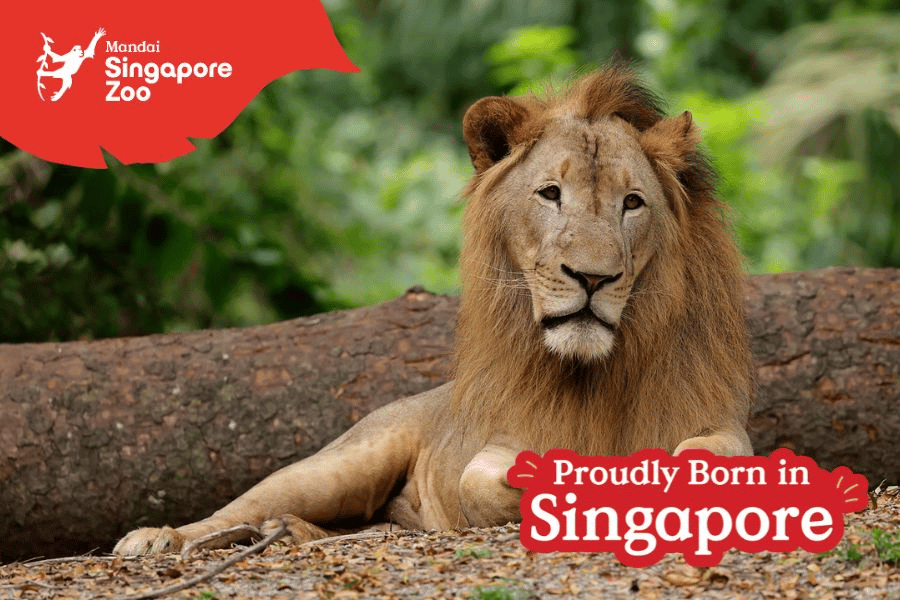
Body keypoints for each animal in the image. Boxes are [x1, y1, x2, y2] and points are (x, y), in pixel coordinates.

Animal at [114, 65, 753, 556]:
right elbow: (478, 480)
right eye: (550, 194)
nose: (593, 277)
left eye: (632, 203)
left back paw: (291, 532)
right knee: (236, 509)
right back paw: (158, 537)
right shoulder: (501, 439)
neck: (593, 374)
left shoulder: (719, 426)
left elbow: (703, 457)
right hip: (341, 464)